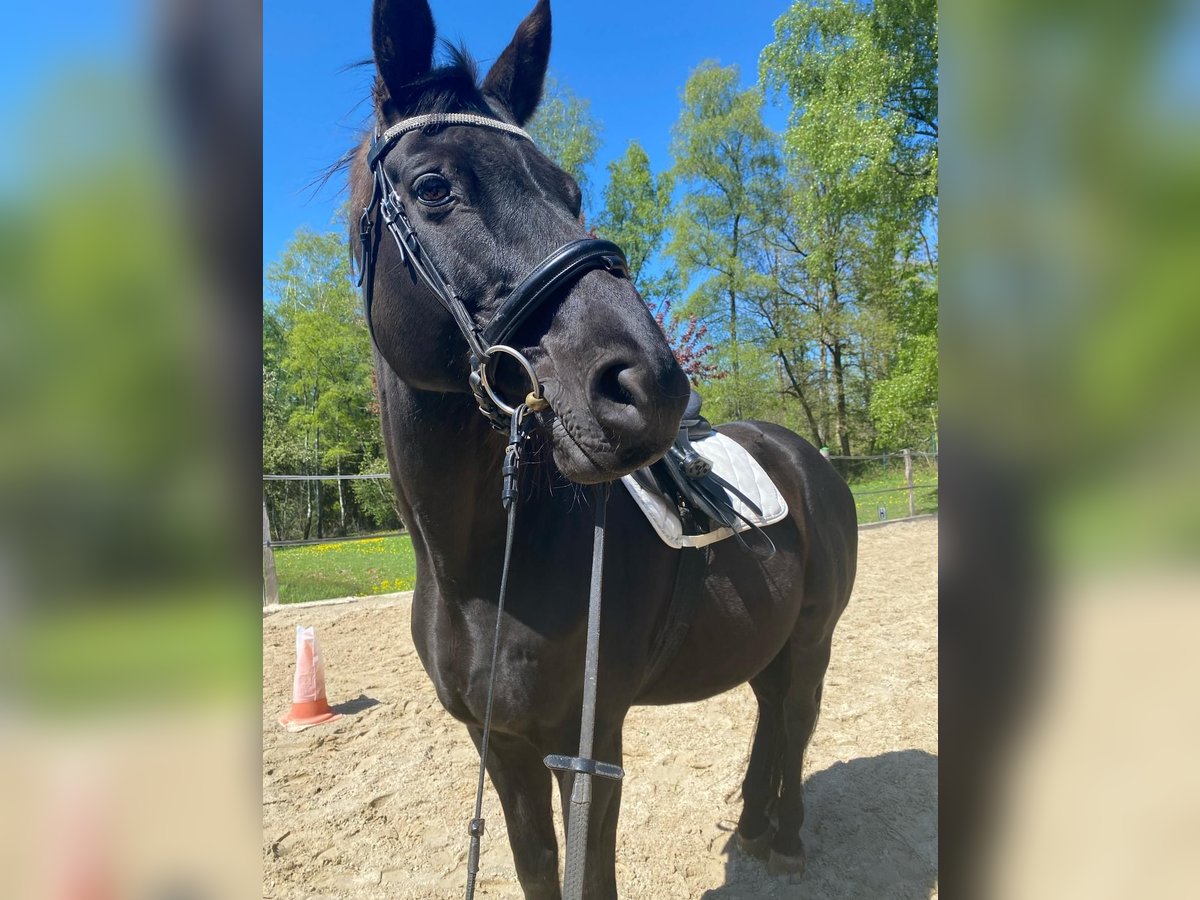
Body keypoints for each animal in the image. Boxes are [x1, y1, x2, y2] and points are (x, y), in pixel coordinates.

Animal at [350, 2, 858, 897]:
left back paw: (788, 835)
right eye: (434, 187)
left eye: (571, 192)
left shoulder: (589, 749)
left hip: (813, 640)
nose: (651, 384)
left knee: (797, 717)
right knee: (770, 713)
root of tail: (808, 461)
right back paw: (755, 824)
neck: (485, 568)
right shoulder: (501, 747)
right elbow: (536, 867)